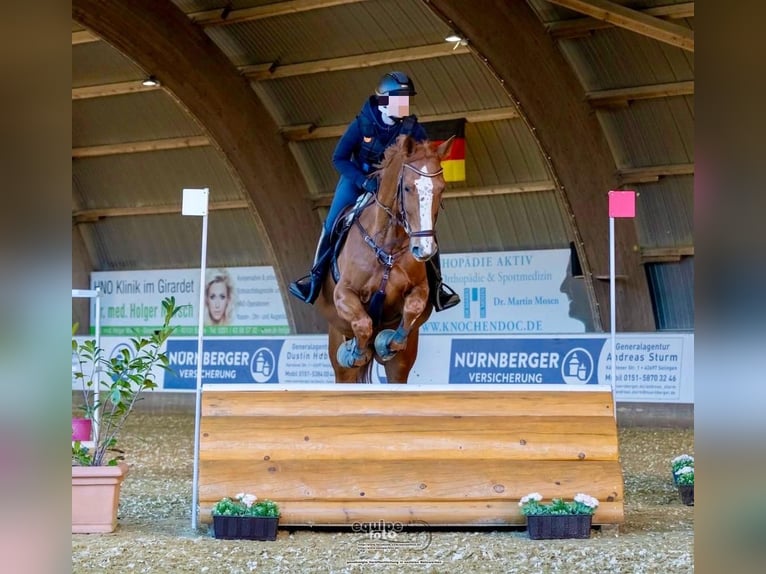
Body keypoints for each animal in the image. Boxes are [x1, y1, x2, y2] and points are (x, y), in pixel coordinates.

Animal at [314, 135, 452, 384]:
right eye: (407, 188)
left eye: (441, 189)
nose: (424, 250)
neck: (388, 244)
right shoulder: (343, 293)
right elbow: (363, 324)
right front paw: (355, 353)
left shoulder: (420, 289)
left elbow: (413, 307)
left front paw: (388, 343)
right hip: (338, 351)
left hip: (402, 363)